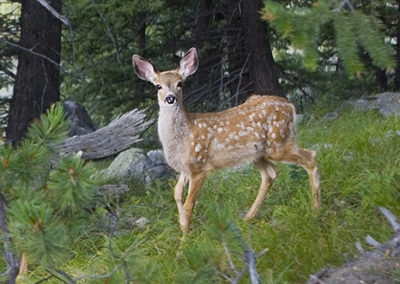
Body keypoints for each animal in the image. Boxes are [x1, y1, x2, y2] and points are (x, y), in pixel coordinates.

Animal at [133, 47, 320, 234]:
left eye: (180, 83)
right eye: (158, 86)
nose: (170, 98)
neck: (181, 138)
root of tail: (290, 105)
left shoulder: (200, 167)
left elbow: (188, 205)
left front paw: (185, 239)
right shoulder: (185, 169)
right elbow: (177, 194)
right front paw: (183, 230)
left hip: (278, 143)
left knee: (310, 157)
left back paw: (315, 209)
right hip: (259, 153)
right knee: (271, 174)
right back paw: (248, 217)